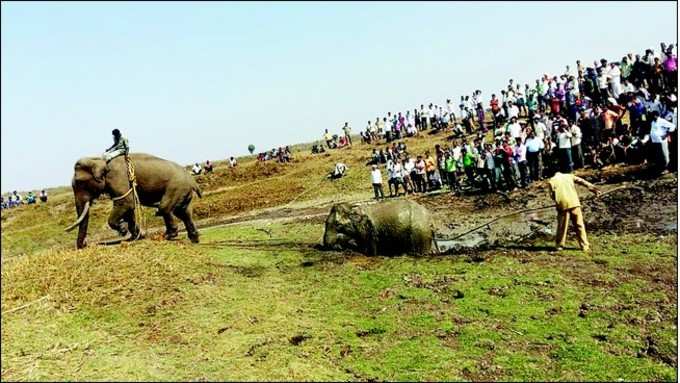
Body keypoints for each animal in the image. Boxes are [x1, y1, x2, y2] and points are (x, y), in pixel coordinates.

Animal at [64, 153, 203, 249]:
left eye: (79, 183)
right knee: (183, 212)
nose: (84, 245)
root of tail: (193, 181)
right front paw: (137, 236)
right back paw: (194, 238)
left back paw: (169, 236)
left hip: (176, 187)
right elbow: (129, 209)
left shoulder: (118, 178)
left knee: (164, 208)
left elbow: (126, 203)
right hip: (183, 191)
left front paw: (122, 229)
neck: (99, 158)